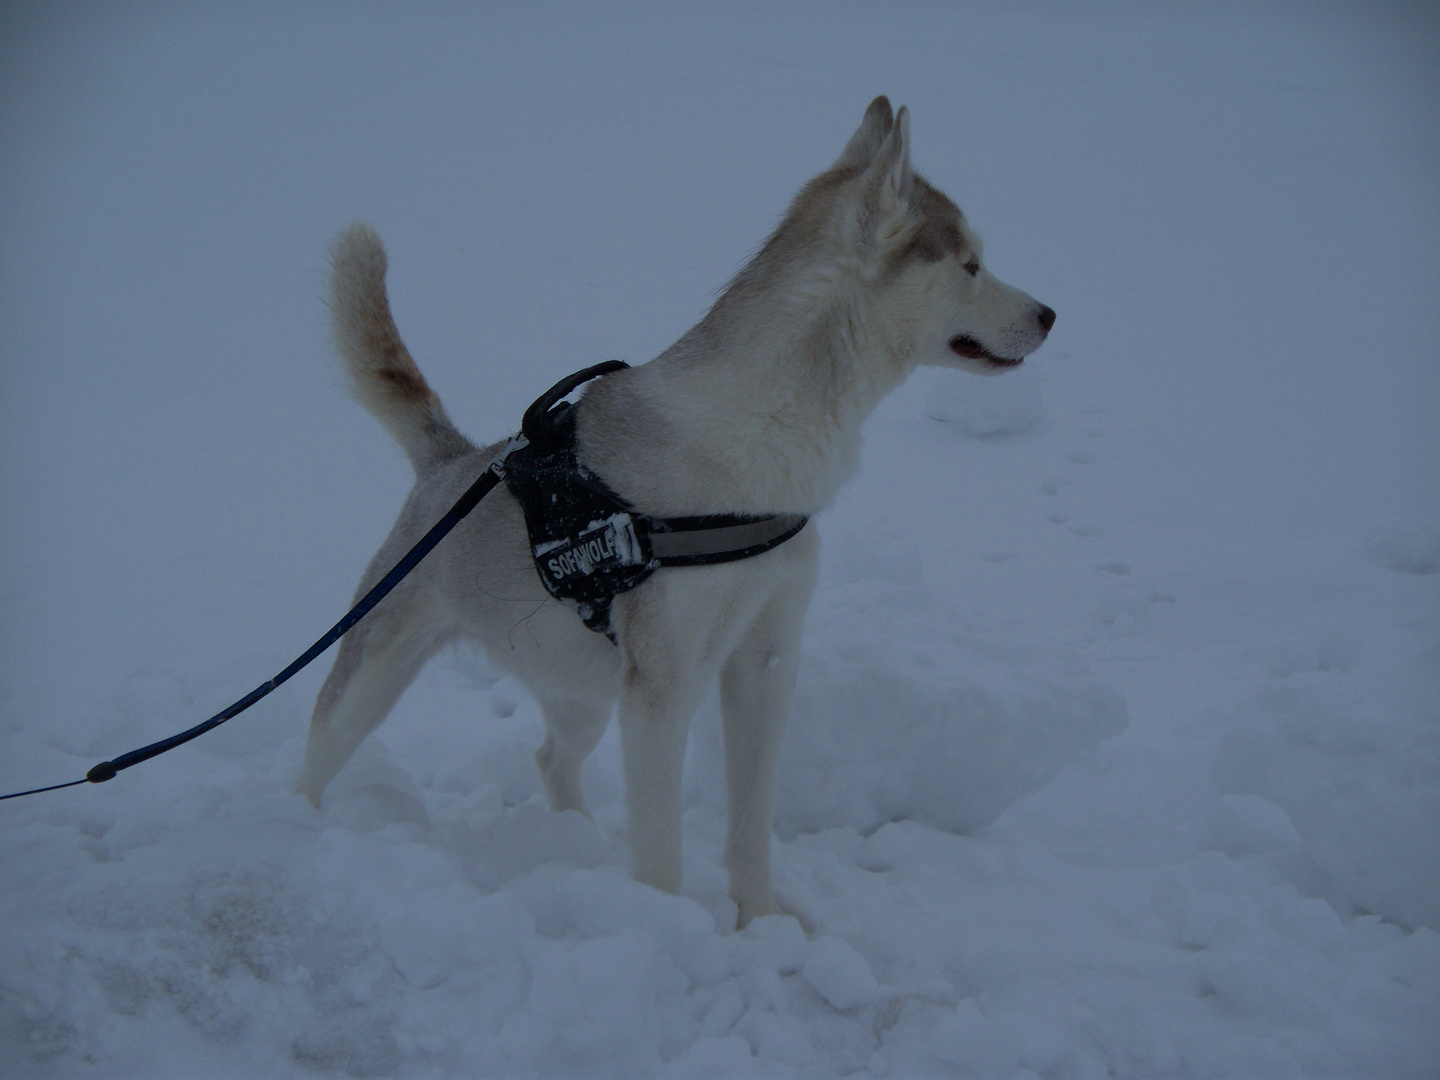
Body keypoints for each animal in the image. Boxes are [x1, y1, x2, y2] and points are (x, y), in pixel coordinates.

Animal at [295, 97, 1059, 933]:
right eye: (970, 264)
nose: (1051, 314)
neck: (763, 438)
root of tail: (455, 459)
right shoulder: (662, 691)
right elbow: (661, 854)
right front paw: (664, 931)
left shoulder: (764, 662)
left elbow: (750, 824)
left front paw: (760, 923)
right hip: (374, 681)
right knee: (312, 761)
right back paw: (295, 836)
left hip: (582, 694)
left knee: (550, 759)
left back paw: (580, 845)